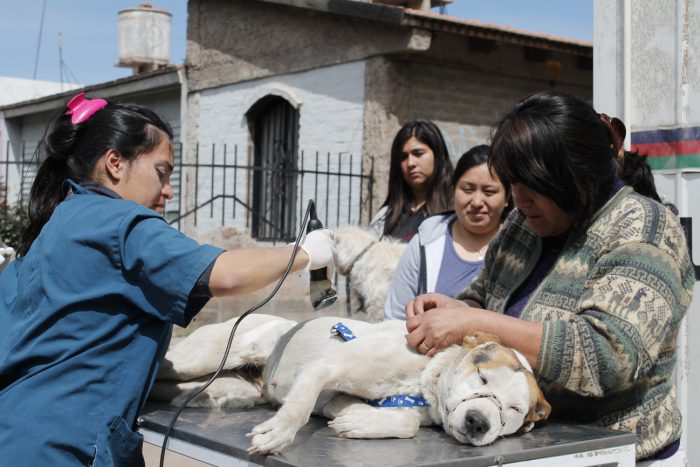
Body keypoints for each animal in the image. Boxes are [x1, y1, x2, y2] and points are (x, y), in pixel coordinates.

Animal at [152, 312, 548, 456]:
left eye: (513, 410)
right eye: (482, 377)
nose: (479, 422)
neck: (421, 378)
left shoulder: (335, 399)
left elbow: (404, 422)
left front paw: (358, 422)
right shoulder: (326, 367)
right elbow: (298, 408)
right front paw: (278, 433)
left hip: (232, 389)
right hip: (200, 360)